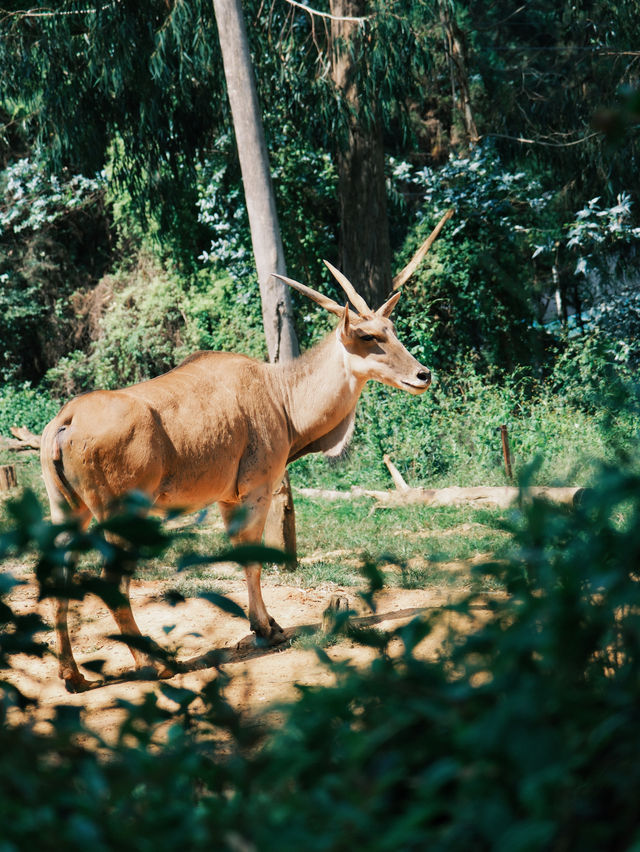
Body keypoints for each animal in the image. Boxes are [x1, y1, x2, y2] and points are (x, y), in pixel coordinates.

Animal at [40, 264, 430, 692]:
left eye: (391, 328)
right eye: (369, 336)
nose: (423, 374)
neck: (280, 394)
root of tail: (67, 420)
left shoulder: (227, 500)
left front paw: (268, 624)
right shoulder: (256, 490)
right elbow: (252, 558)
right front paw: (266, 630)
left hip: (69, 511)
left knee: (59, 573)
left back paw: (72, 674)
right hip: (124, 516)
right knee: (112, 581)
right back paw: (155, 664)